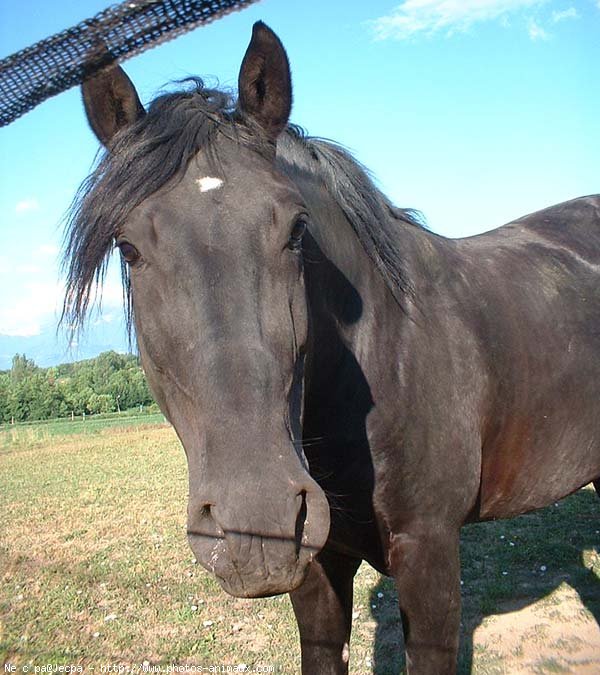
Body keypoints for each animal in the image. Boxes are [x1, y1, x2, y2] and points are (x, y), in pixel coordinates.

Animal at [64, 21, 600, 675]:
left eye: (297, 230)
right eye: (129, 248)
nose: (256, 528)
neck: (385, 355)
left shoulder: (430, 554)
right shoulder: (318, 563)